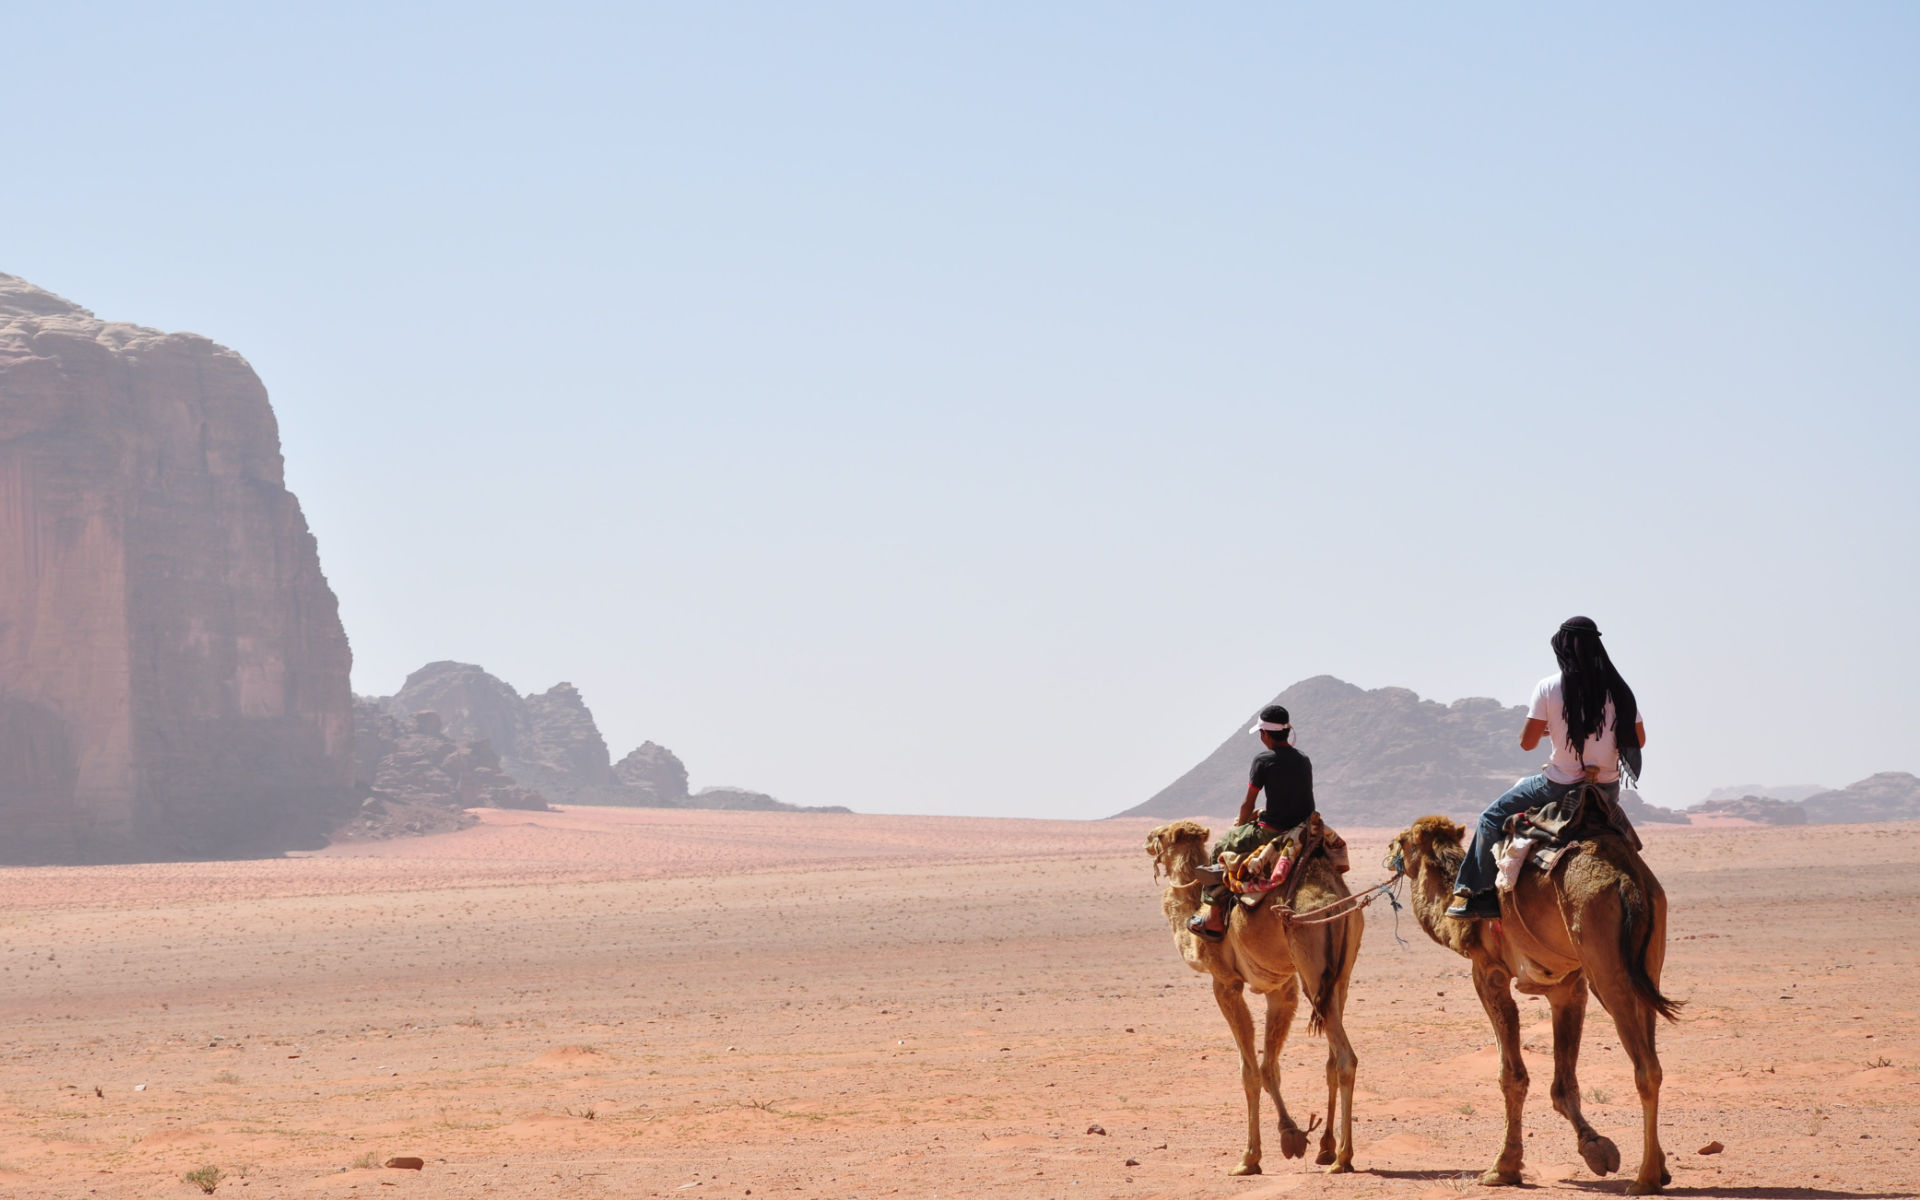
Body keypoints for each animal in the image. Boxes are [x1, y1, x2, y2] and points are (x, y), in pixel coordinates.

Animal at [1136, 817, 1367, 1175]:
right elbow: (1270, 1067)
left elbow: (1250, 1071)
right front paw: (1292, 1136)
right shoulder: (1280, 988)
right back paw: (1328, 1149)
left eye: (1160, 835)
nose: (1146, 840)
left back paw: (1343, 1158)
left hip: (1312, 967)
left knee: (1345, 1059)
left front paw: (1249, 1158)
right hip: (1339, 974)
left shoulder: (1225, 982)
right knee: (1332, 1058)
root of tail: (1334, 901)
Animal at [1390, 814, 1689, 1190]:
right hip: (1648, 959)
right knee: (1653, 1055)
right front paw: (1596, 1149)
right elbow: (1563, 1084)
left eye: (1402, 841)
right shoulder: (1566, 986)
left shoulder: (1488, 971)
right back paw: (1658, 1169)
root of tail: (1627, 880)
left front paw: (1503, 1168)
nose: (1389, 852)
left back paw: (1644, 1179)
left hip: (1605, 967)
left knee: (1645, 1068)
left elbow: (1511, 1075)